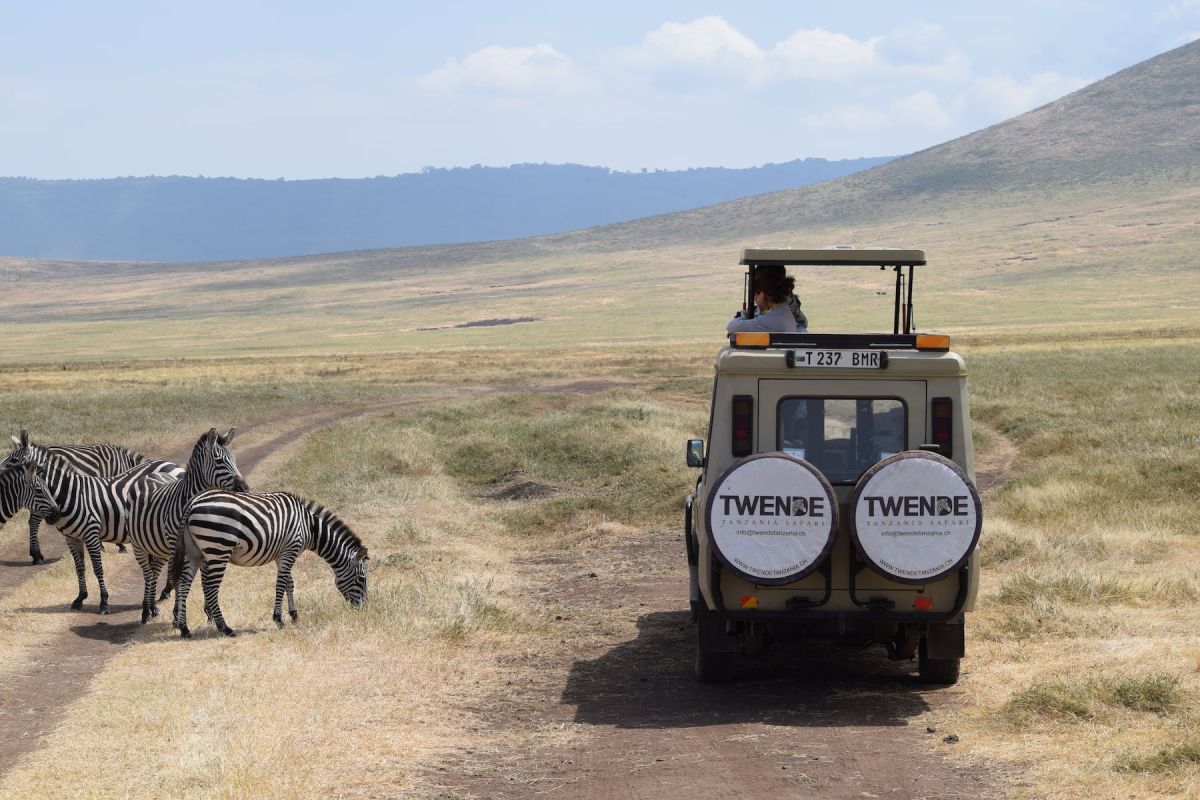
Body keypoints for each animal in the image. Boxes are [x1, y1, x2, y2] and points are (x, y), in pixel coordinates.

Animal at [2, 429, 147, 563]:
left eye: (14, 460)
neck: (123, 462)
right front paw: (118, 545)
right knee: (34, 522)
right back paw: (36, 554)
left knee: (33, 521)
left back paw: (35, 554)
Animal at [22, 451, 183, 614]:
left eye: (39, 491)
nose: (54, 516)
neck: (72, 494)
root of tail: (176, 467)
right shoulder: (72, 538)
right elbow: (80, 568)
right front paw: (80, 598)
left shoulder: (91, 533)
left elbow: (98, 569)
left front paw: (104, 602)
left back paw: (166, 591)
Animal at [125, 428, 248, 623]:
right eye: (219, 461)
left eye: (234, 459)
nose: (244, 488)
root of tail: (150, 475)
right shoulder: (179, 547)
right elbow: (180, 578)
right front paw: (177, 615)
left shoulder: (204, 544)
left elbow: (204, 578)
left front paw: (209, 613)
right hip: (139, 545)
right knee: (147, 572)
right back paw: (145, 611)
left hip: (160, 547)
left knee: (154, 571)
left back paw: (152, 607)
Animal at [169, 491, 368, 638]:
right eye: (361, 579)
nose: (364, 608)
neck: (309, 527)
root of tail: (192, 502)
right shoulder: (290, 550)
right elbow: (281, 584)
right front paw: (279, 619)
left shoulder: (283, 554)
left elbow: (289, 583)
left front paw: (294, 615)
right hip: (218, 548)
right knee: (210, 588)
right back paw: (225, 628)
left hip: (194, 552)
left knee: (184, 584)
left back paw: (184, 629)